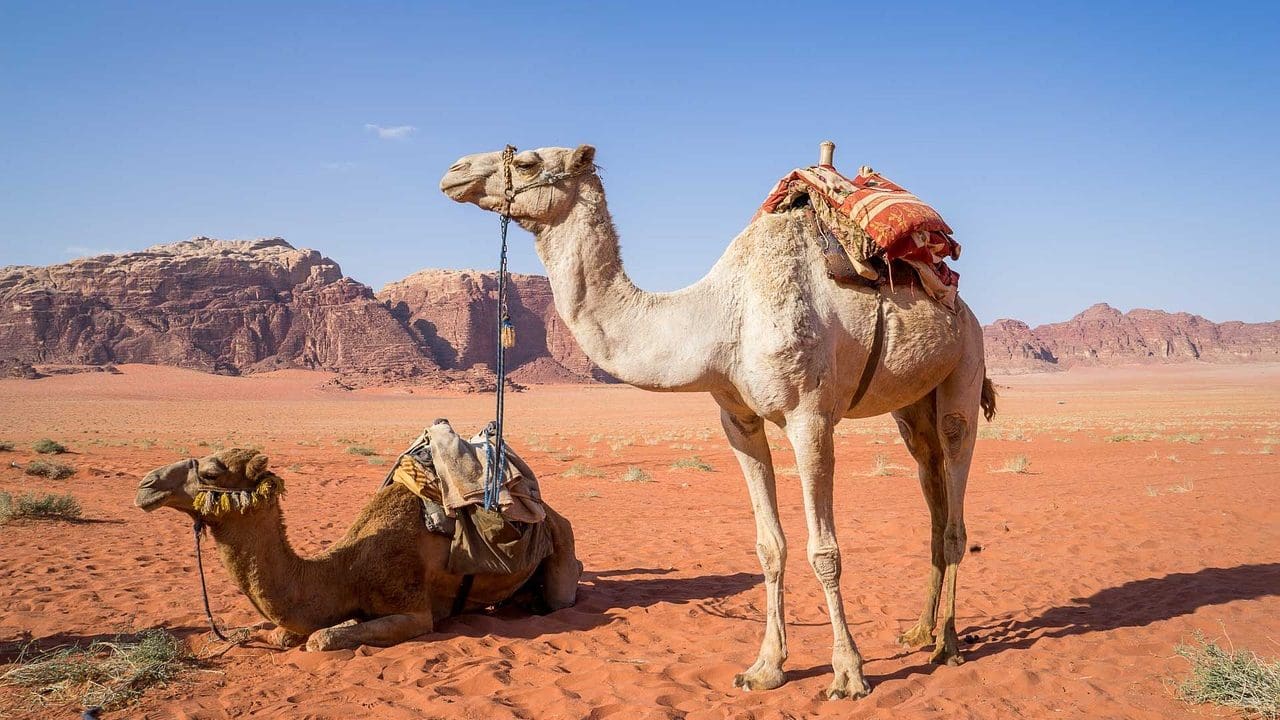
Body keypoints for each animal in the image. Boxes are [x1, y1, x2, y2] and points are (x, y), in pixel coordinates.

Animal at [135, 448, 581, 651]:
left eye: (211, 472)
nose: (147, 485)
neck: (345, 570)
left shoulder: (415, 610)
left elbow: (320, 639)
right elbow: (285, 633)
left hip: (561, 539)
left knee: (563, 592)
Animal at [440, 145, 996, 700]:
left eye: (528, 162)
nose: (454, 172)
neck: (720, 319)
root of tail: (960, 304)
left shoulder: (810, 417)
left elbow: (824, 550)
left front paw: (848, 673)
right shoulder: (738, 420)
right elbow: (769, 546)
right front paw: (766, 667)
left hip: (964, 367)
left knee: (954, 497)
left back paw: (947, 644)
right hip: (911, 405)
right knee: (931, 489)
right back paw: (919, 631)